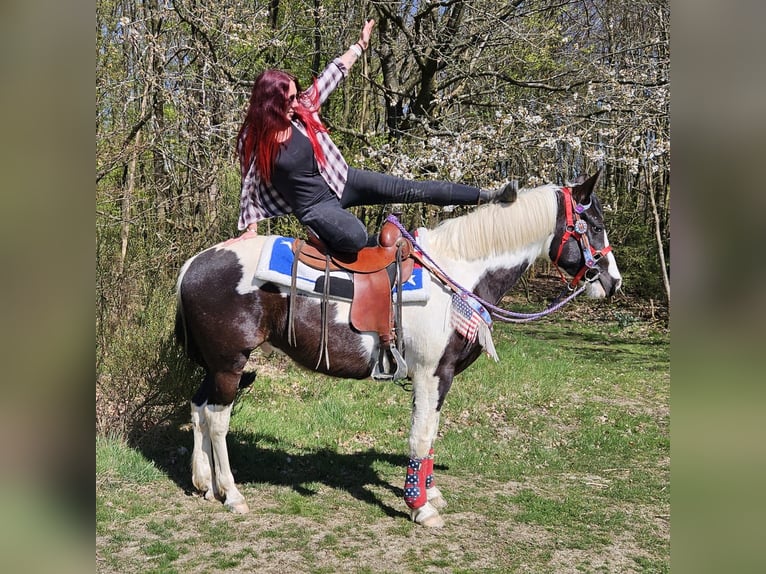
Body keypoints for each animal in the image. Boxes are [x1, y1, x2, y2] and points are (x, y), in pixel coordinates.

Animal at [174, 171, 622, 527]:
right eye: (595, 224)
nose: (613, 282)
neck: (456, 273)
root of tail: (193, 264)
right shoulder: (431, 373)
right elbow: (420, 437)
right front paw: (420, 507)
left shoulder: (440, 378)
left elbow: (432, 433)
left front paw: (431, 493)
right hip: (231, 364)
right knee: (217, 419)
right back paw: (232, 494)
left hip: (215, 366)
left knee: (198, 409)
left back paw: (203, 483)